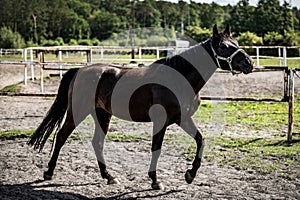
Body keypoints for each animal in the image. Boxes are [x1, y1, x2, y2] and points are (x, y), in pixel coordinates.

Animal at [27, 24, 253, 189]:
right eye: (223, 46)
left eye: (236, 42)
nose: (249, 63)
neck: (179, 78)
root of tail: (80, 70)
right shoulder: (161, 121)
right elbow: (156, 149)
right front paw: (155, 180)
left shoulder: (182, 119)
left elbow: (201, 140)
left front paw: (190, 175)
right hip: (78, 112)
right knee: (61, 136)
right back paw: (48, 172)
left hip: (102, 114)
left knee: (97, 143)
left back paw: (109, 176)